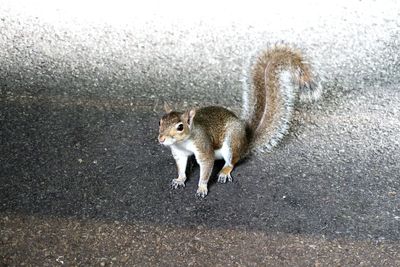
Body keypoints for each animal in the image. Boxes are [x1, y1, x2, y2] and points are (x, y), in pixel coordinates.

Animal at [158, 45, 320, 198]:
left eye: (180, 127)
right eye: (160, 122)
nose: (161, 139)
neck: (183, 142)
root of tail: (246, 142)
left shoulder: (203, 147)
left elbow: (206, 168)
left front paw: (202, 188)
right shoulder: (179, 153)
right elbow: (181, 167)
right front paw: (180, 179)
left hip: (232, 143)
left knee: (232, 161)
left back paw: (224, 171)